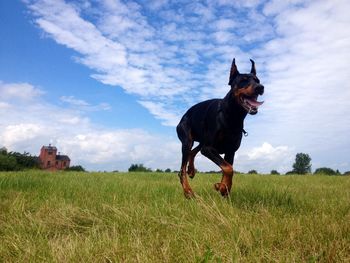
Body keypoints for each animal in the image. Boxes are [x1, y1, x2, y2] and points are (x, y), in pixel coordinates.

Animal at [176, 58, 264, 198]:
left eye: (258, 80)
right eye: (243, 80)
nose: (260, 87)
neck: (232, 117)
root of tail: (183, 116)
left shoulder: (230, 151)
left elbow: (228, 169)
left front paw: (223, 188)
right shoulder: (208, 149)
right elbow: (228, 168)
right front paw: (221, 187)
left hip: (201, 141)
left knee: (192, 152)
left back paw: (191, 170)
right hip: (187, 140)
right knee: (182, 168)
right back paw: (188, 191)